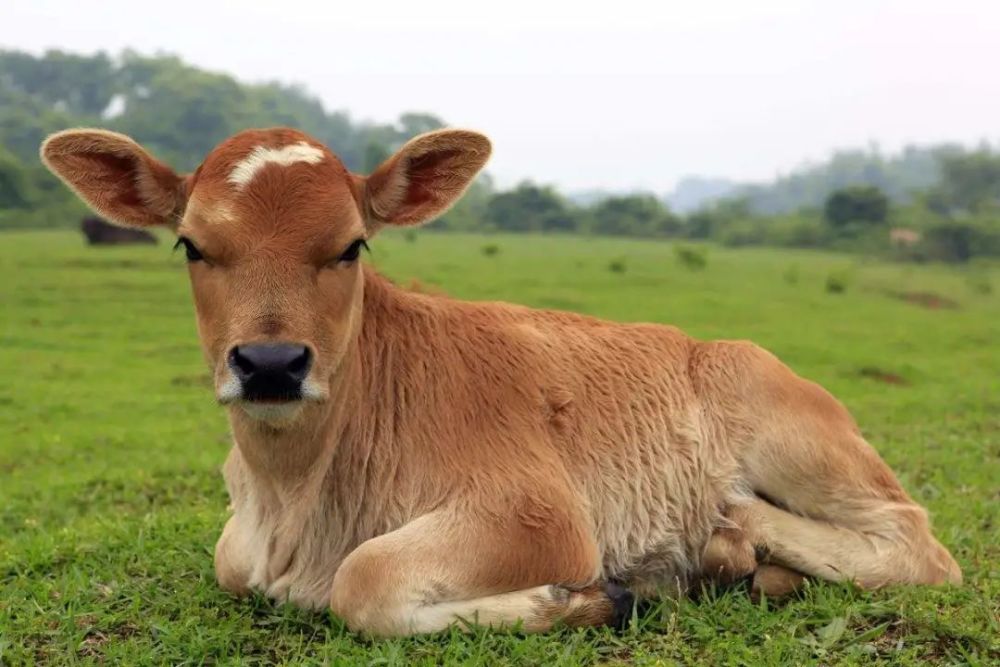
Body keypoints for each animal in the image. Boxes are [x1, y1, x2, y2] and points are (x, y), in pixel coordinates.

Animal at [41, 125, 960, 636]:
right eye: (191, 244)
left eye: (351, 245)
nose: (271, 364)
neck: (295, 493)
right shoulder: (241, 544)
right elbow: (232, 561)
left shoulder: (540, 513)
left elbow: (363, 582)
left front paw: (590, 598)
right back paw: (729, 559)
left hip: (795, 435)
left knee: (918, 544)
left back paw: (734, 526)